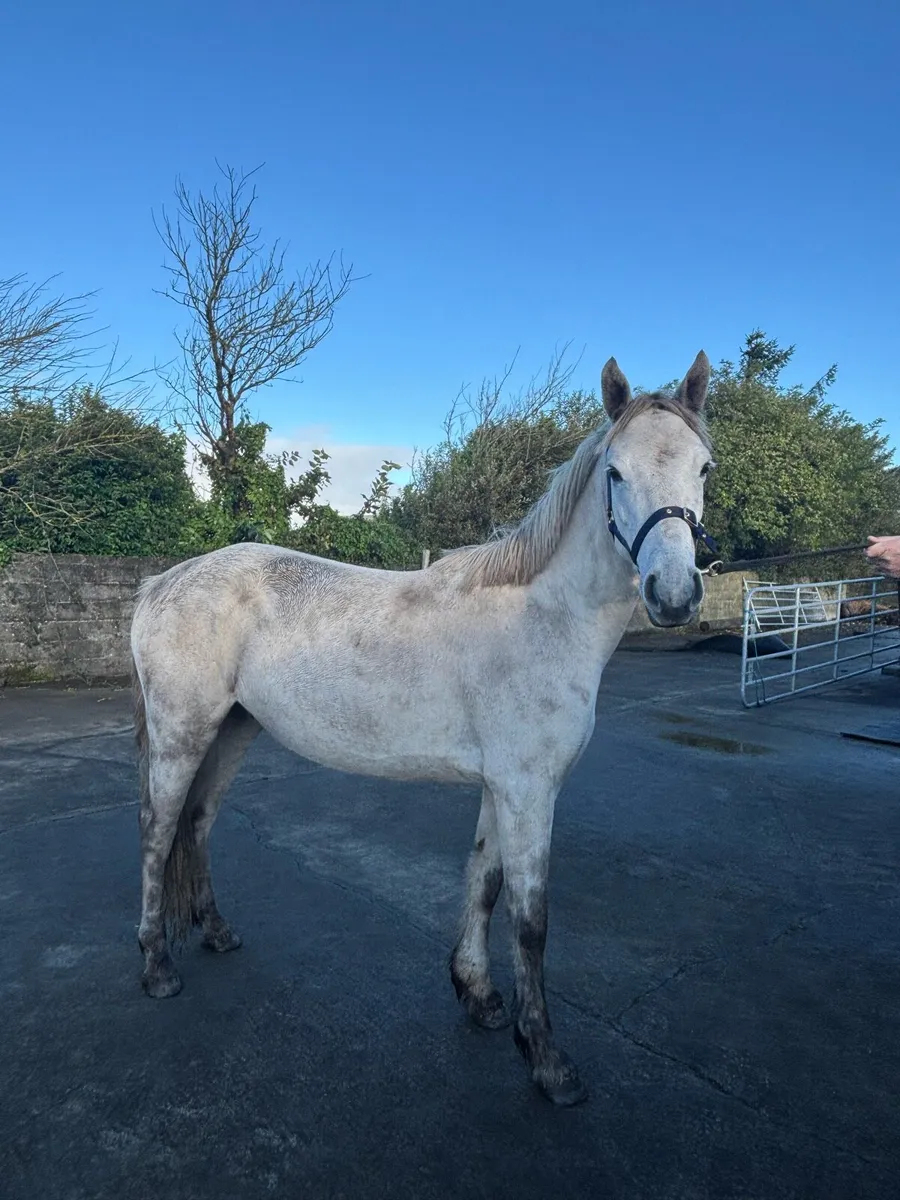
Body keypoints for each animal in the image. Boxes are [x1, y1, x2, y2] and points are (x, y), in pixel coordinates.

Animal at [130, 351, 716, 1107]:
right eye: (616, 472)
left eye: (703, 468)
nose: (673, 595)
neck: (543, 617)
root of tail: (161, 585)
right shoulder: (530, 791)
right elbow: (531, 920)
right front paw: (548, 1060)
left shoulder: (505, 787)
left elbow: (484, 883)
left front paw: (480, 998)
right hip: (182, 734)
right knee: (158, 832)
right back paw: (157, 967)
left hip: (233, 730)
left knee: (197, 824)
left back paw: (218, 933)